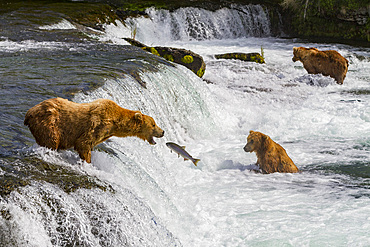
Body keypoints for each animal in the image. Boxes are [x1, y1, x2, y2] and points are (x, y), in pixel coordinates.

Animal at [24, 97, 165, 163]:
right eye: (153, 124)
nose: (163, 132)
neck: (115, 123)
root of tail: (29, 113)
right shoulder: (99, 124)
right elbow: (84, 143)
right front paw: (87, 162)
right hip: (49, 123)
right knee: (51, 140)